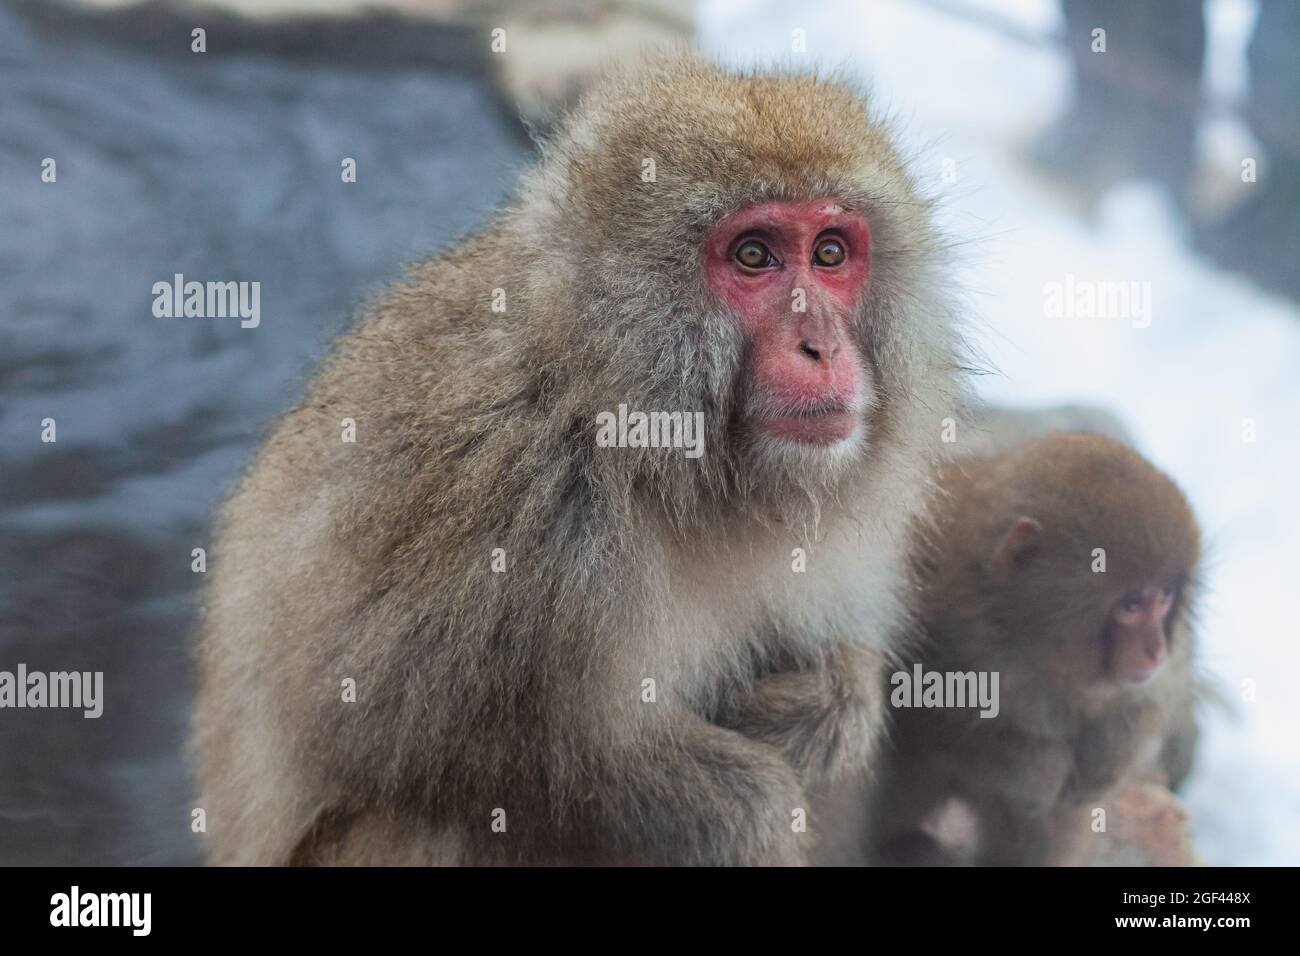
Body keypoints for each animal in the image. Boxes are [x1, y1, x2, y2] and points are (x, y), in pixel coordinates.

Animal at [189, 57, 967, 868]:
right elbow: (424, 743)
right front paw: (741, 809)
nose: (821, 347)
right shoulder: (514, 496)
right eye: (754, 255)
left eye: (830, 253)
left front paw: (830, 705)